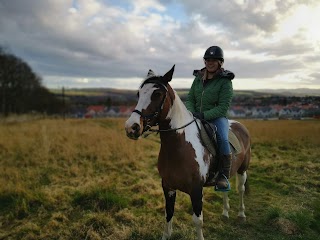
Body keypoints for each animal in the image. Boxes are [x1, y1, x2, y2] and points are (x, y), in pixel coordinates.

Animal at [124, 64, 251, 239]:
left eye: (157, 94)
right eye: (138, 93)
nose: (132, 127)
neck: (179, 146)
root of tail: (240, 125)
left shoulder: (196, 190)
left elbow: (198, 221)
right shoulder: (168, 187)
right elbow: (168, 214)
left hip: (242, 170)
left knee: (241, 189)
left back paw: (241, 214)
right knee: (226, 188)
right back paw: (225, 213)